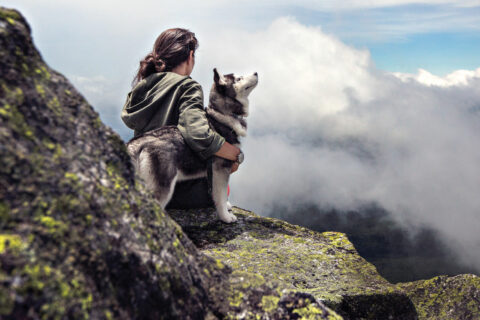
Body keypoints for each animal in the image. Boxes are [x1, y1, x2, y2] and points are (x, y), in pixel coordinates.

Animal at [125, 68, 256, 222]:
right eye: (239, 78)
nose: (256, 73)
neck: (222, 115)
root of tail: (137, 142)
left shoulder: (212, 173)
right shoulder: (220, 169)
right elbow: (221, 195)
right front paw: (225, 217)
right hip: (163, 185)